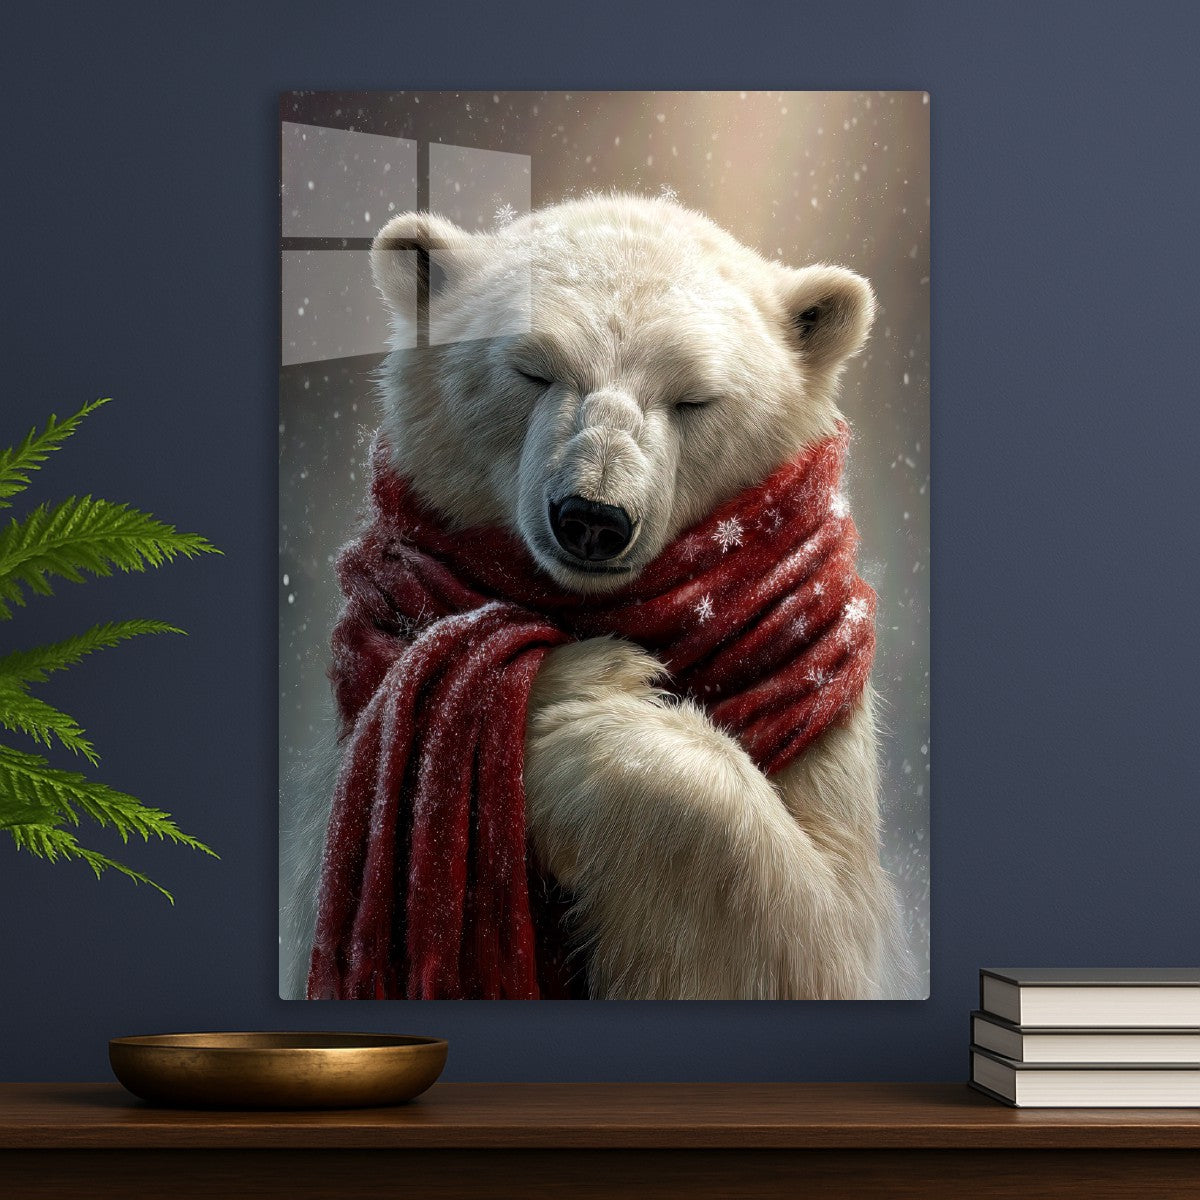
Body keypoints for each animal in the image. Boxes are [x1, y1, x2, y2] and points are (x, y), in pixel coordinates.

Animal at [284, 193, 910, 1000]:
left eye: (694, 399)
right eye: (532, 370)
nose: (592, 517)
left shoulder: (830, 736)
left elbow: (818, 939)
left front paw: (578, 707)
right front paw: (581, 678)